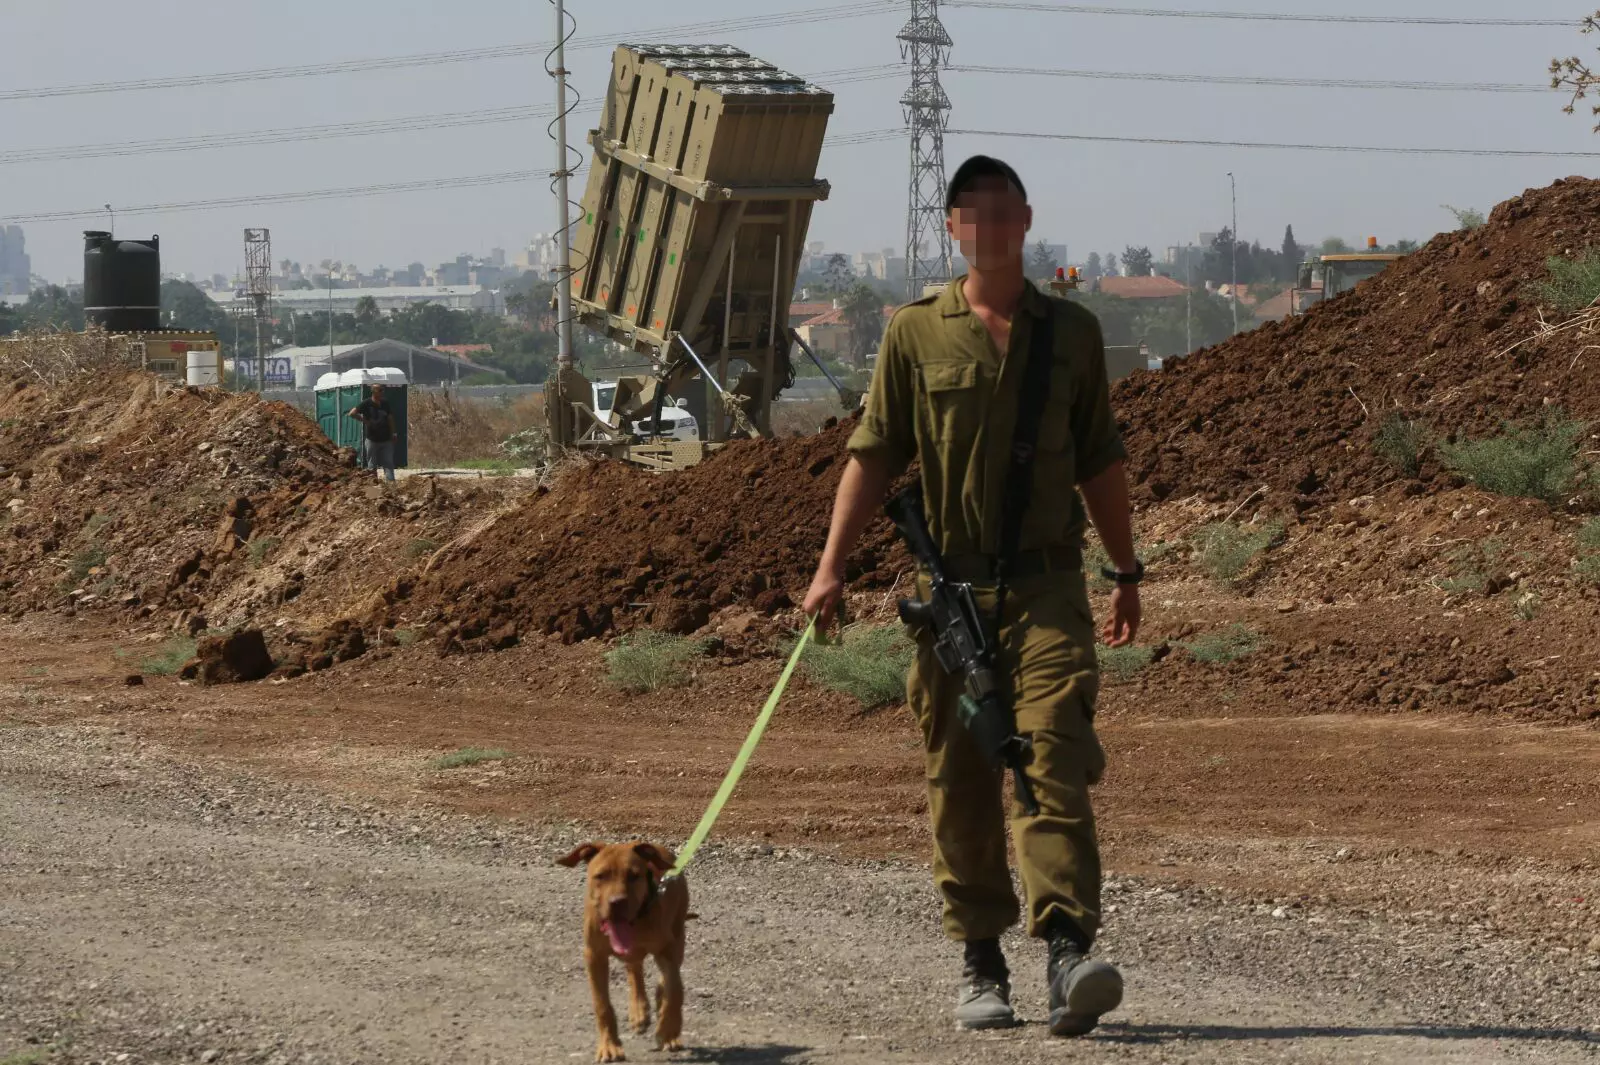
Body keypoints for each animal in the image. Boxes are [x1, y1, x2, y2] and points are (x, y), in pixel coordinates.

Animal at [560, 844, 691, 1055]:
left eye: (634, 876)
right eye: (601, 876)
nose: (617, 902)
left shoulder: (668, 949)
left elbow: (675, 991)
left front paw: (669, 1032)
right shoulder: (594, 955)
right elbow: (602, 1004)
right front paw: (609, 1046)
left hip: (678, 935)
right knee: (635, 971)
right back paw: (639, 1012)